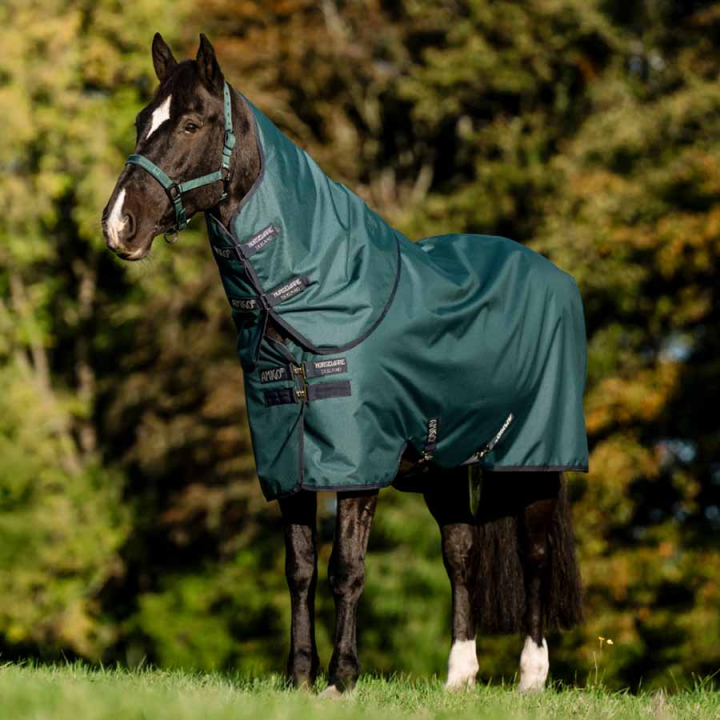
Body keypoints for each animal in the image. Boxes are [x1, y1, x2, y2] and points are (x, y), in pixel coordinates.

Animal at [102, 33, 584, 695]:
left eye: (193, 123)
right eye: (140, 121)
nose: (118, 225)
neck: (318, 295)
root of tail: (554, 275)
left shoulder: (358, 468)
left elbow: (346, 568)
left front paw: (342, 678)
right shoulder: (291, 461)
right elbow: (300, 568)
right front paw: (298, 677)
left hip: (534, 461)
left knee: (532, 555)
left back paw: (531, 676)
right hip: (445, 465)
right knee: (461, 553)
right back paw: (459, 676)